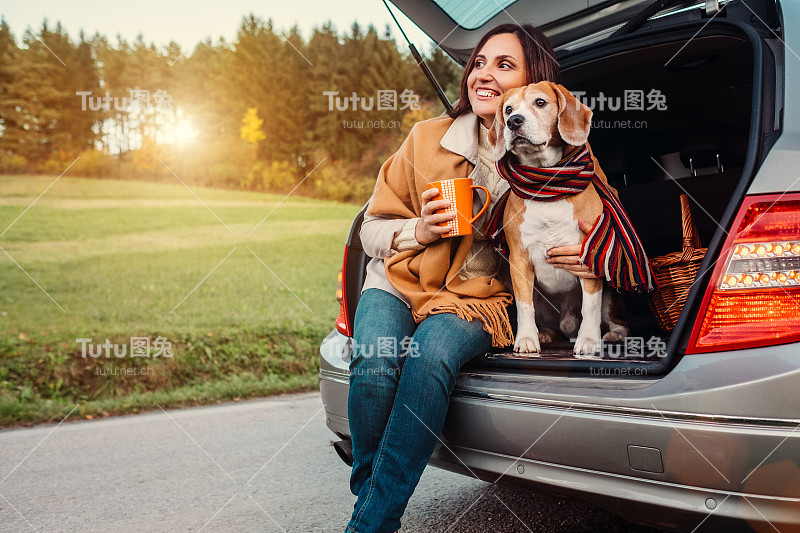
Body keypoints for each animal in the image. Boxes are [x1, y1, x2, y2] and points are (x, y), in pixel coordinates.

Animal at [488, 81, 632, 358]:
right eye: (508, 109)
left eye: (540, 102)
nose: (513, 121)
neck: (546, 185)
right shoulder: (519, 261)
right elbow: (524, 306)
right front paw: (527, 338)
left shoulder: (587, 256)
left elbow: (590, 306)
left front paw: (588, 340)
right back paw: (544, 334)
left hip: (610, 295)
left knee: (618, 322)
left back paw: (613, 334)